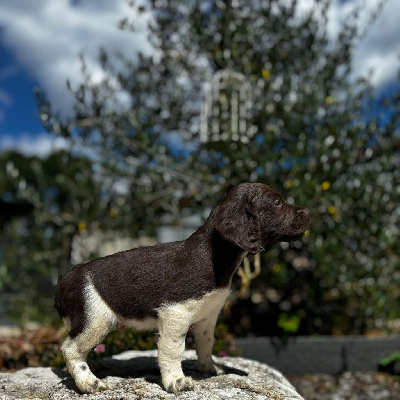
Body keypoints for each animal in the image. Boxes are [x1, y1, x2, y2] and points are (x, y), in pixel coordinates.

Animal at [54, 182, 310, 394]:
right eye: (276, 203)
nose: (308, 214)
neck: (213, 256)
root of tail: (64, 280)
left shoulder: (207, 316)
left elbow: (206, 344)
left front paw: (209, 370)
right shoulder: (175, 314)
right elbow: (173, 350)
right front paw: (176, 381)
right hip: (95, 319)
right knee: (70, 349)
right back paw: (89, 382)